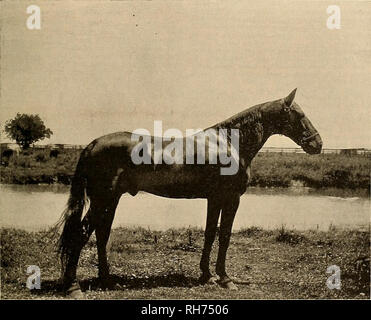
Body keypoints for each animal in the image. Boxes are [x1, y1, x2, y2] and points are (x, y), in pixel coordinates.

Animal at [57, 88, 322, 298]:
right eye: (299, 115)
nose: (317, 144)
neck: (229, 144)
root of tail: (92, 144)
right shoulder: (231, 199)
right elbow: (225, 236)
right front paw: (225, 279)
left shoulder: (214, 199)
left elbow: (209, 234)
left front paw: (206, 275)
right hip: (103, 200)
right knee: (81, 235)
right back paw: (73, 287)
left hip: (110, 201)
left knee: (101, 235)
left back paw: (108, 281)